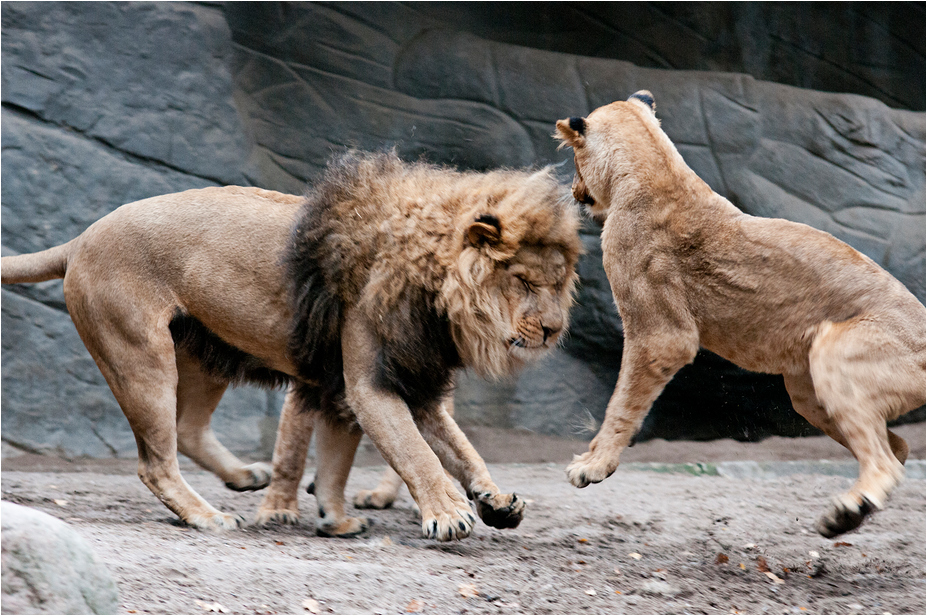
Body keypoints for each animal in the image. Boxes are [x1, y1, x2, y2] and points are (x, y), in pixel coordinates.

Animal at [1, 150, 581, 540]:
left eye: (559, 284)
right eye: (524, 282)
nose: (554, 331)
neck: (439, 303)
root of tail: (80, 238)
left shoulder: (403, 380)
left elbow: (450, 448)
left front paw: (493, 499)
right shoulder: (369, 383)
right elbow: (416, 453)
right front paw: (449, 513)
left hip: (204, 356)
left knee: (187, 430)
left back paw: (244, 477)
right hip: (140, 357)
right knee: (155, 462)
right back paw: (209, 516)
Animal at [555, 92, 926, 537]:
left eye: (576, 163)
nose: (574, 190)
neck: (656, 166)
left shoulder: (661, 337)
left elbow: (622, 403)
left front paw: (593, 467)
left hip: (835, 352)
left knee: (885, 459)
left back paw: (849, 509)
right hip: (807, 394)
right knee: (897, 445)